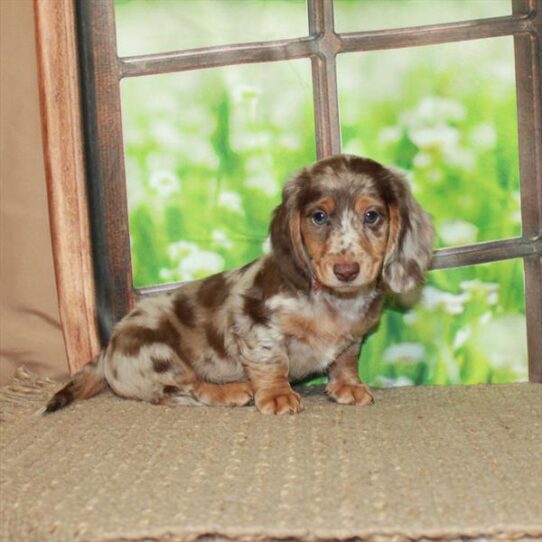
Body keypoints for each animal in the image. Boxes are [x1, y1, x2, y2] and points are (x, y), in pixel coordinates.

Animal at [44, 155, 436, 418]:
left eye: (372, 216)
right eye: (319, 216)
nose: (346, 270)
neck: (333, 302)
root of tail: (107, 349)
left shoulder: (352, 340)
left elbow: (344, 359)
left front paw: (348, 386)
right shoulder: (257, 324)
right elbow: (272, 361)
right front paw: (276, 395)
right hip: (154, 353)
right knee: (183, 390)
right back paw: (232, 391)